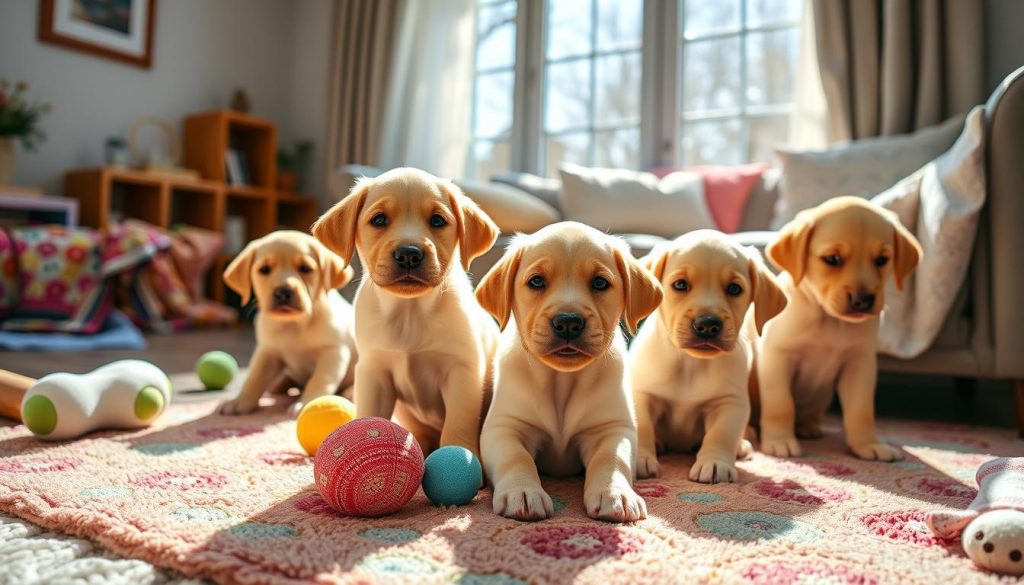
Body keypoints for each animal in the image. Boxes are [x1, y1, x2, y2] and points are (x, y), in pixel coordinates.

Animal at [219, 228, 356, 415]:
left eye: (305, 268)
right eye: (264, 269)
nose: (283, 292)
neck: (293, 324)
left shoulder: (332, 351)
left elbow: (319, 379)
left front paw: (307, 403)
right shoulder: (268, 350)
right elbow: (254, 378)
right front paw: (240, 401)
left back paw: (350, 392)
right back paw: (280, 384)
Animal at [313, 166, 501, 454]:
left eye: (437, 221)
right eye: (379, 220)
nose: (409, 254)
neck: (409, 312)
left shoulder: (462, 370)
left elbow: (458, 423)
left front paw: (461, 455)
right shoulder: (374, 371)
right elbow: (371, 413)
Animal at [473, 223, 659, 522]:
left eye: (600, 283)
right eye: (536, 281)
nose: (569, 322)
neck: (561, 382)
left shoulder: (611, 428)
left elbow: (612, 459)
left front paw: (615, 494)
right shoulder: (505, 427)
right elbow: (516, 458)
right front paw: (523, 492)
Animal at [757, 196, 925, 463]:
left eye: (882, 260)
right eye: (832, 259)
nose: (863, 299)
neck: (830, 321)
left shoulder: (860, 363)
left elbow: (861, 410)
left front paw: (868, 444)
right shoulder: (777, 357)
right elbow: (780, 404)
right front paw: (780, 441)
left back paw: (808, 427)